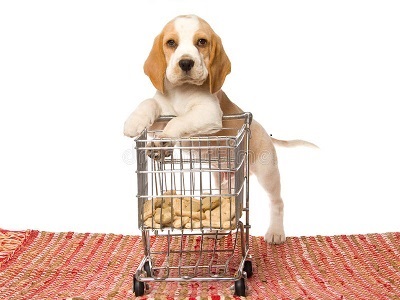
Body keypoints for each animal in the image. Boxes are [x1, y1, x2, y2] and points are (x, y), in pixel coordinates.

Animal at [124, 14, 316, 244]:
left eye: (201, 42)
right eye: (171, 43)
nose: (185, 63)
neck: (181, 91)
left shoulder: (208, 113)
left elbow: (178, 122)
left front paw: (164, 140)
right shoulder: (160, 117)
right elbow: (149, 104)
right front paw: (134, 122)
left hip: (267, 171)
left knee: (277, 201)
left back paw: (276, 232)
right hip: (222, 179)